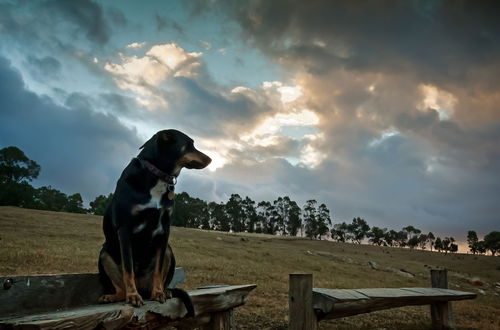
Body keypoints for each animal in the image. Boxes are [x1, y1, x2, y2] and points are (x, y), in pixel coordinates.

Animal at [97, 129, 211, 314]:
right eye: (190, 144)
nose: (211, 159)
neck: (157, 176)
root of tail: (143, 288)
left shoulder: (164, 230)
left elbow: (158, 269)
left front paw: (158, 293)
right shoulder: (125, 229)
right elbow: (128, 268)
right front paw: (133, 296)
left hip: (169, 251)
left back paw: (164, 291)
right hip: (104, 253)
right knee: (121, 290)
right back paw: (116, 296)